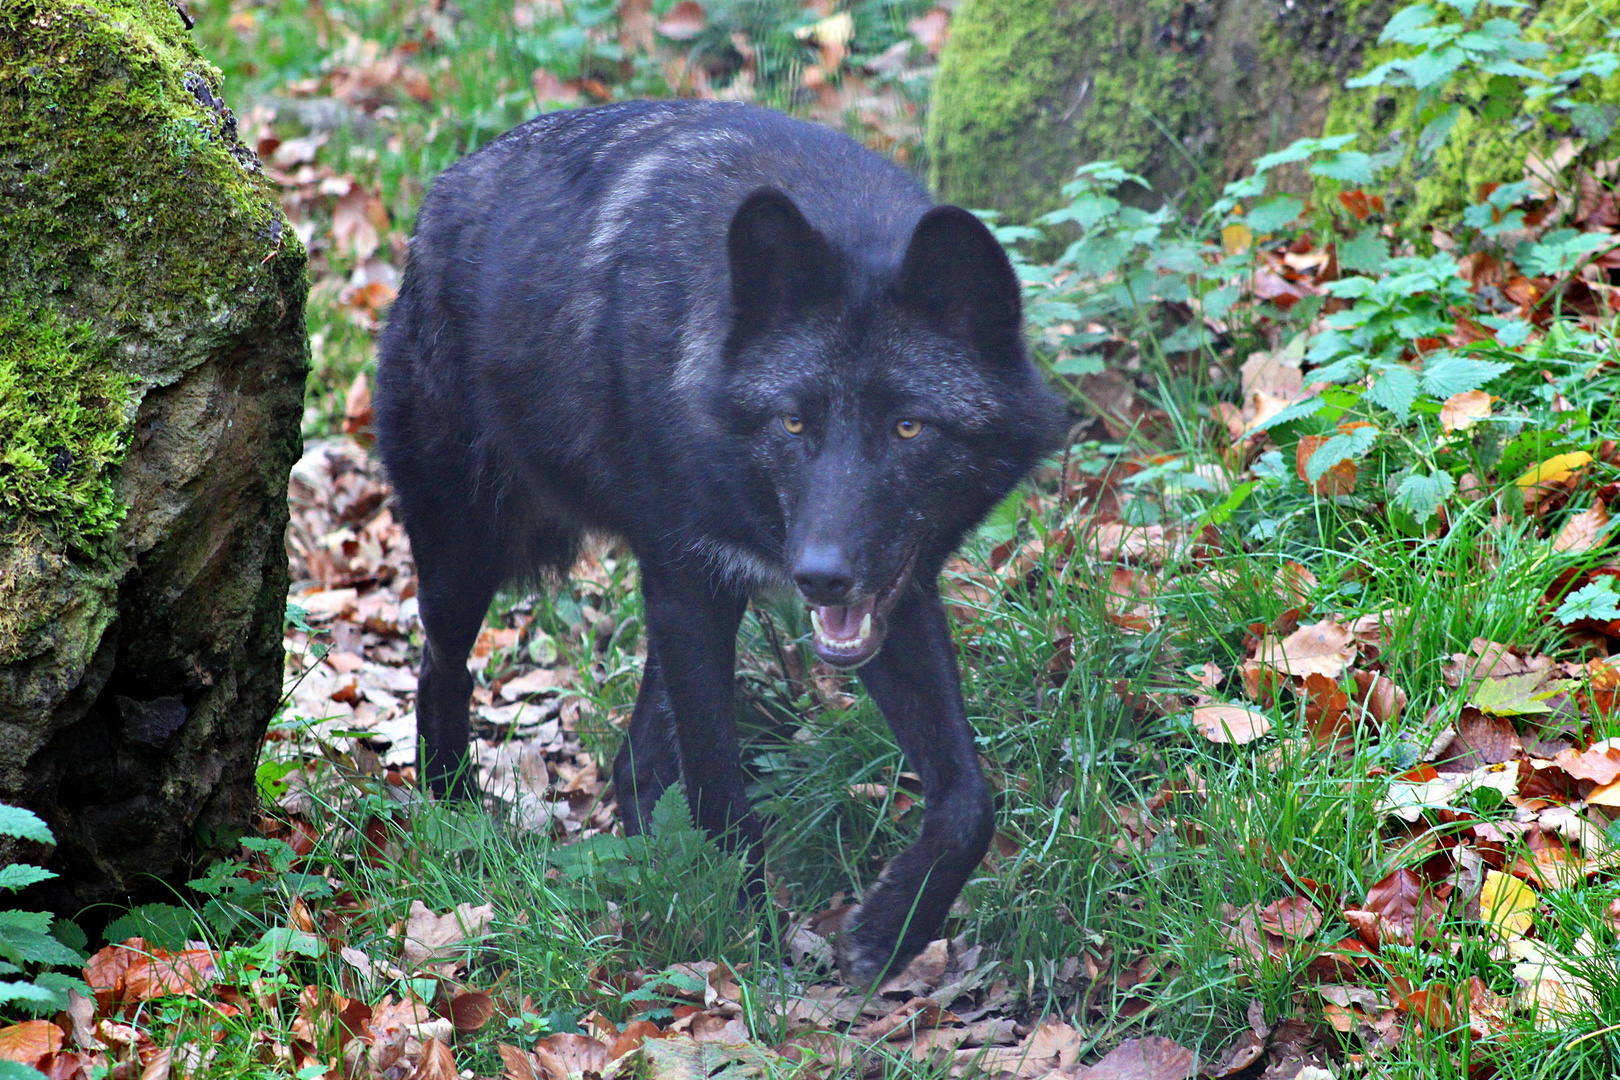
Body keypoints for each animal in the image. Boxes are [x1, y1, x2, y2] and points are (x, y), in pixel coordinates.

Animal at [372, 103, 1069, 990]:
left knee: (632, 765)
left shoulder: (893, 596)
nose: (820, 578)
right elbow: (725, 803)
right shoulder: (690, 584)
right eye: (795, 422)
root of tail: (442, 193)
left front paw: (890, 930)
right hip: (465, 553)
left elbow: (968, 801)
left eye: (909, 427)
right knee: (442, 668)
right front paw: (754, 961)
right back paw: (455, 815)